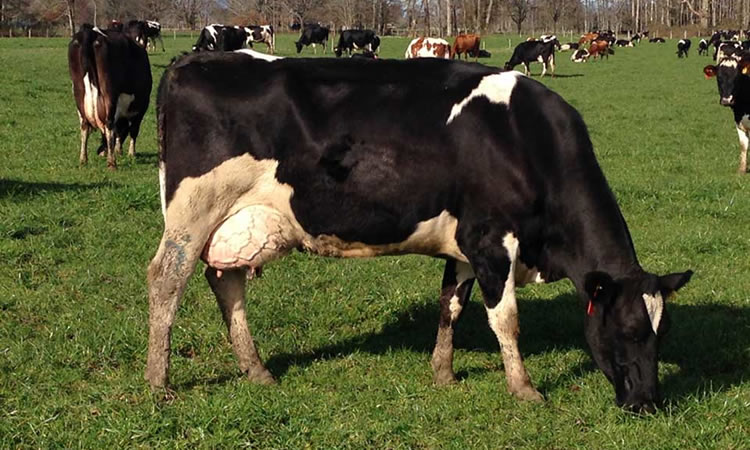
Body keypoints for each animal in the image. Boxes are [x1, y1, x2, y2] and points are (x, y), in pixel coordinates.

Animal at [67, 24, 151, 169]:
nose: (100, 151)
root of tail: (91, 32)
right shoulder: (141, 108)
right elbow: (133, 130)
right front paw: (131, 153)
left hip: (78, 93)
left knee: (84, 126)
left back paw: (83, 160)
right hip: (109, 95)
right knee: (109, 125)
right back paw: (111, 162)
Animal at [147, 53, 693, 413]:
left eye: (664, 332)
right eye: (629, 330)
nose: (649, 402)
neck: (526, 140)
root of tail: (190, 61)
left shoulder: (466, 246)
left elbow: (451, 306)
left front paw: (444, 374)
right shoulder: (492, 240)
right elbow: (506, 320)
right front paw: (524, 388)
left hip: (235, 221)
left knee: (226, 282)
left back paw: (256, 370)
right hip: (192, 212)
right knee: (166, 281)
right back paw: (159, 381)